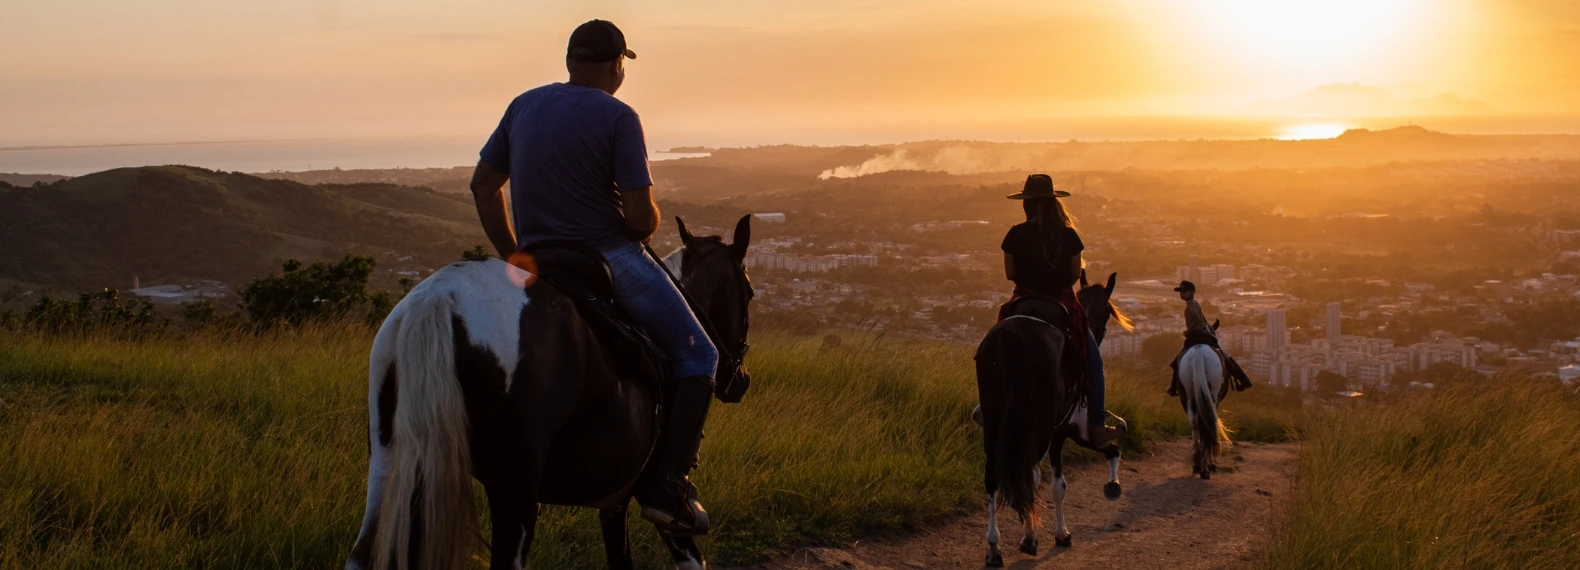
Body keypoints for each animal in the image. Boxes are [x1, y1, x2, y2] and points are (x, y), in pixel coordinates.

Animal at [350, 214, 752, 568]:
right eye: (748, 293)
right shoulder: (651, 496)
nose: (740, 380)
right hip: (515, 489)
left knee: (363, 552)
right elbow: (689, 555)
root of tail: (441, 297)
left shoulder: (614, 501)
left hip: (388, 462)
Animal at [973, 271, 1137, 565]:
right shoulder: (1063, 433)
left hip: (994, 420)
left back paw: (994, 547)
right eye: (1108, 311)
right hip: (1038, 425)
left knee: (993, 476)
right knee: (1028, 473)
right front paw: (1061, 534)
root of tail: (1013, 336)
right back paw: (1028, 538)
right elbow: (1059, 485)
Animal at [1175, 344, 1232, 476]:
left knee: (1194, 421)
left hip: (1187, 393)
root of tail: (1199, 353)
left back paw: (1197, 462)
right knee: (1209, 422)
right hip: (1213, 394)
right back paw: (1206, 465)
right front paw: (1211, 463)